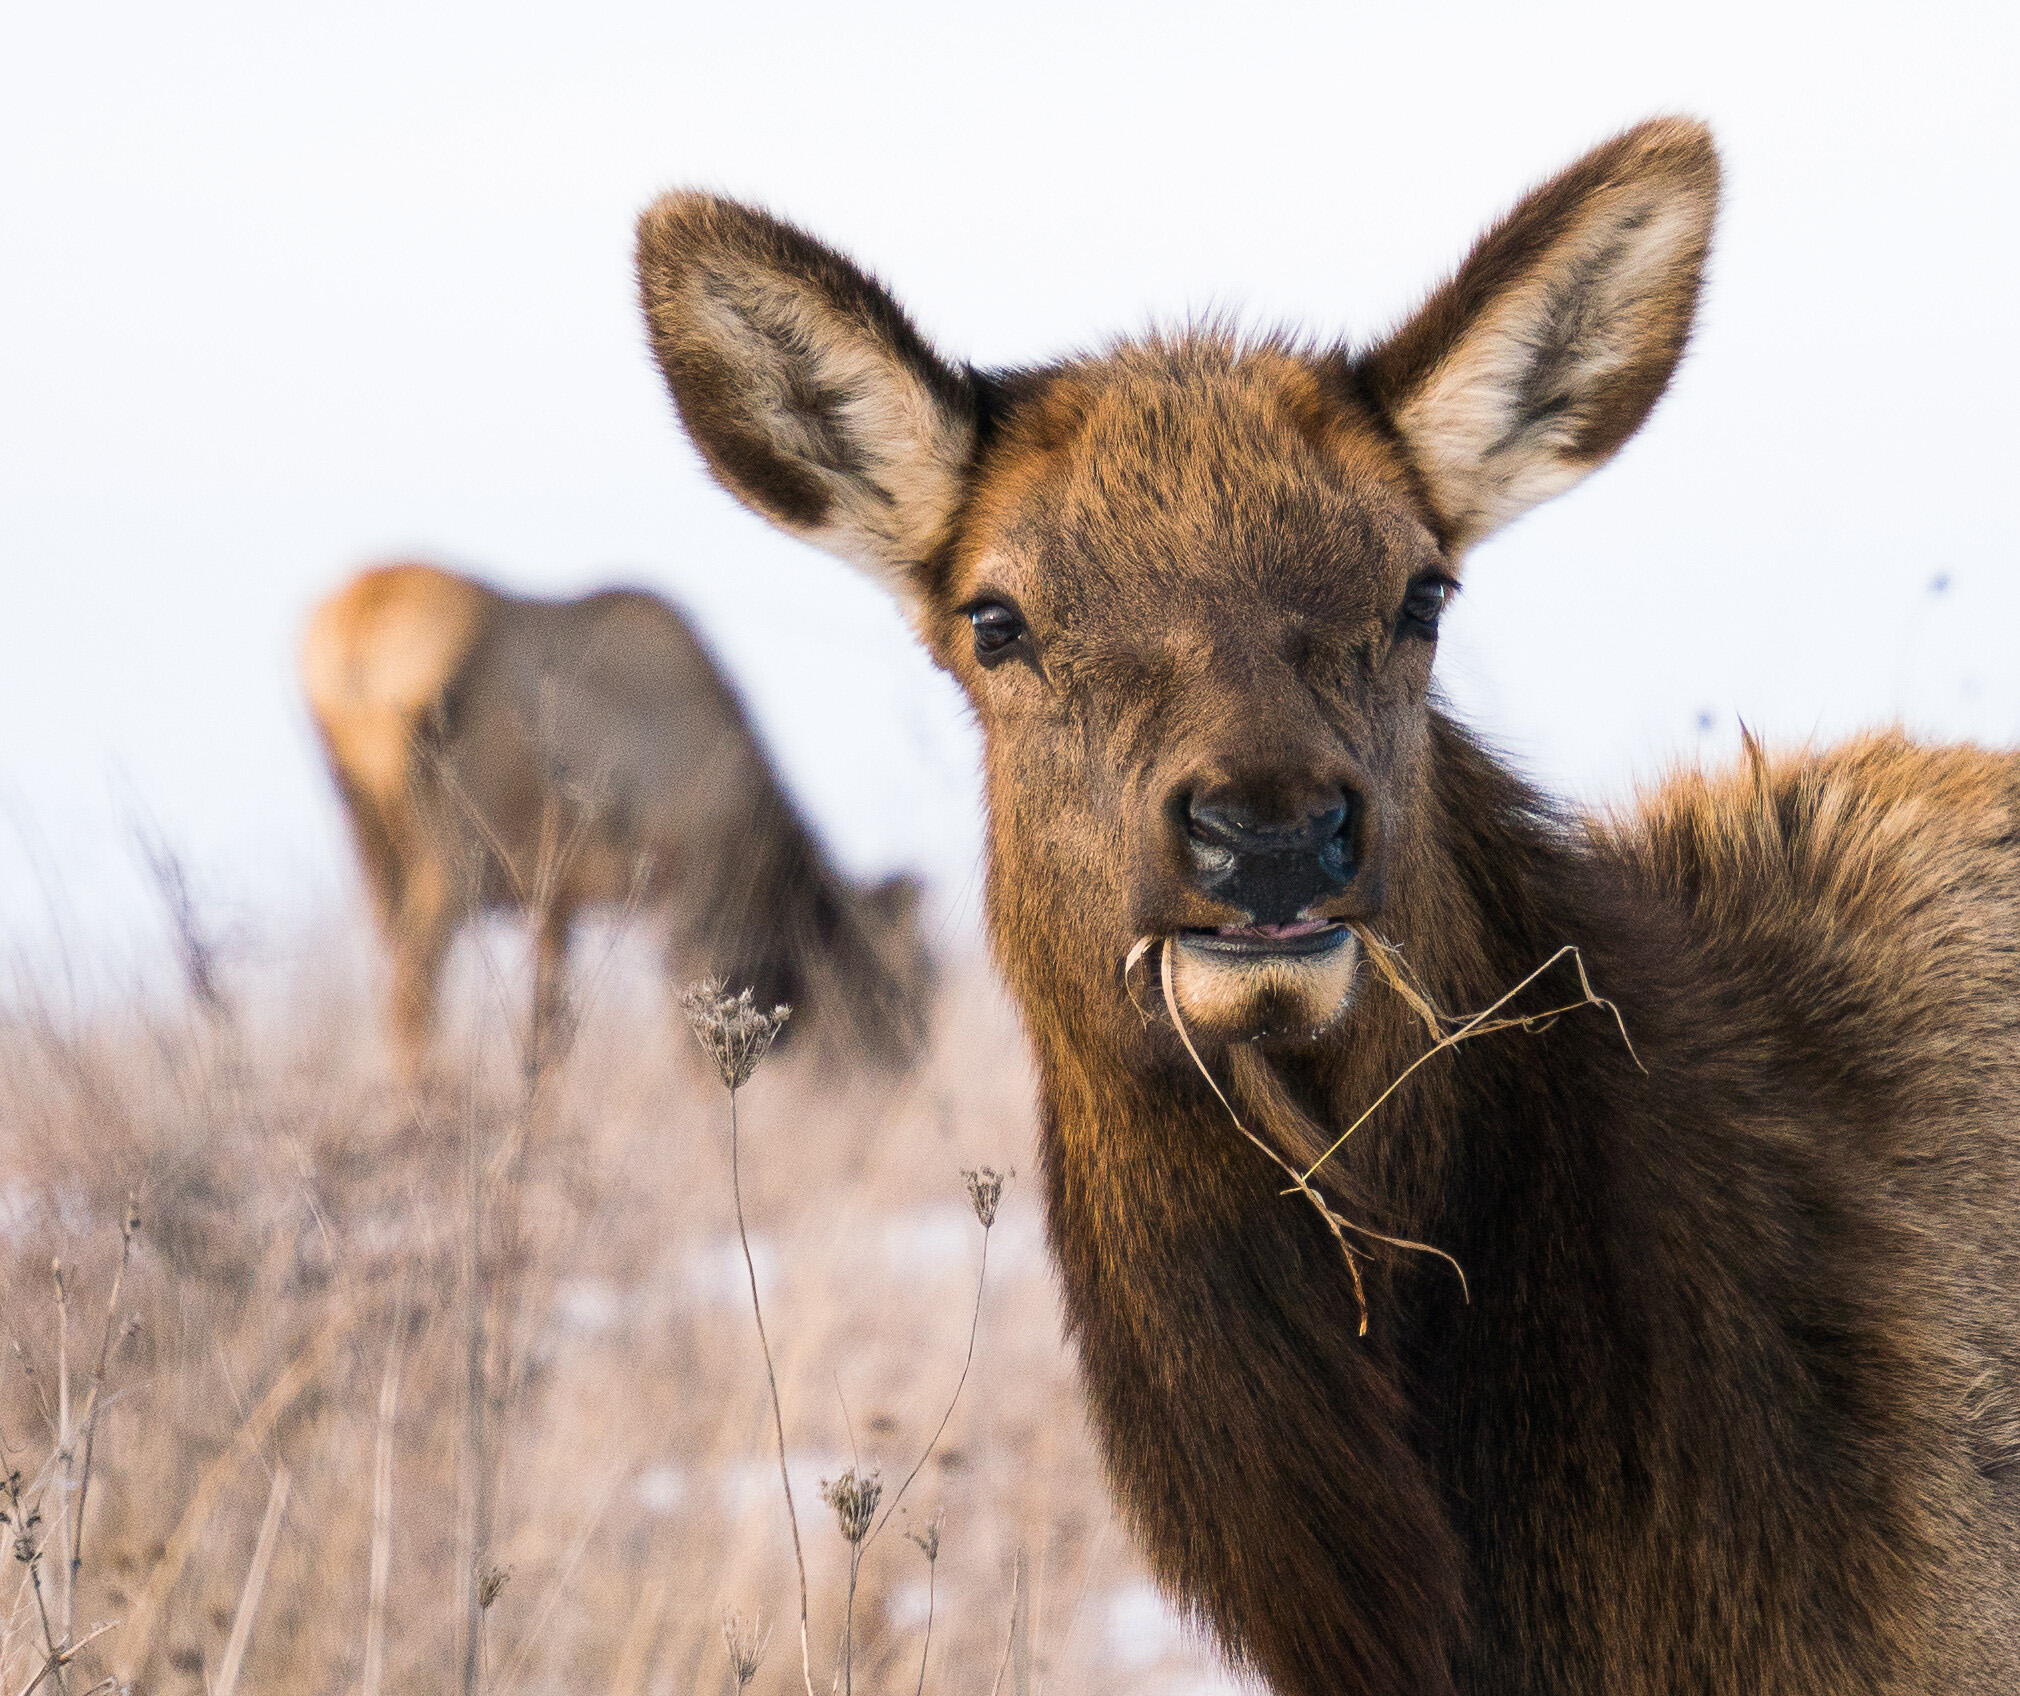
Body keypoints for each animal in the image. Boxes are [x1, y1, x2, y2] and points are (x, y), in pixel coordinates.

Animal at [298, 561, 929, 1082]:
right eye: (901, 984)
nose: (905, 1066)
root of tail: (357, 632)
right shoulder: (695, 892)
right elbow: (695, 1037)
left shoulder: (556, 903)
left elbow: (548, 1031)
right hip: (453, 850)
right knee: (414, 983)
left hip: (368, 836)